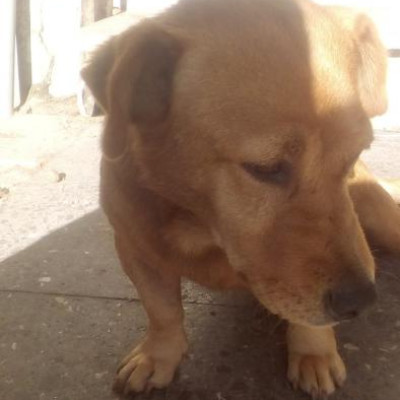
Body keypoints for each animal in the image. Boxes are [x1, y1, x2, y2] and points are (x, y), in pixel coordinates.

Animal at [81, 0, 400, 397]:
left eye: (353, 157)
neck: (203, 228)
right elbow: (162, 310)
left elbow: (308, 321)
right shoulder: (136, 250)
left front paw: (314, 351)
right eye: (267, 168)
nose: (360, 301)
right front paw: (160, 355)